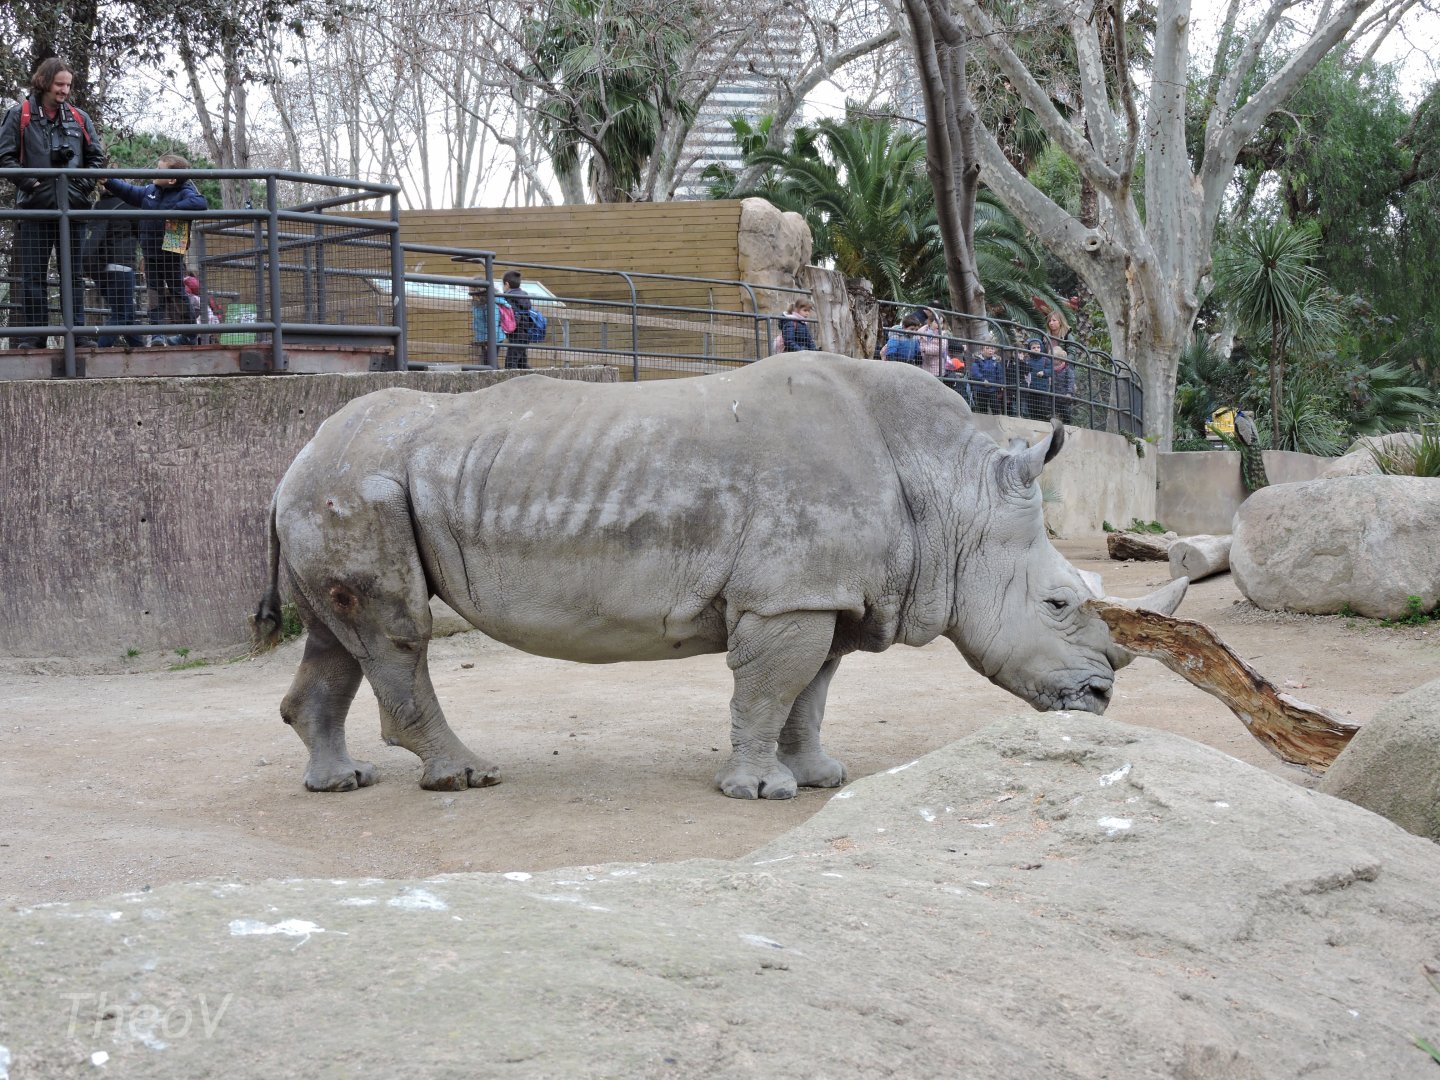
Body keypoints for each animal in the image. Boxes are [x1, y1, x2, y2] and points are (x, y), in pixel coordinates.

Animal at [254, 352, 1185, 799]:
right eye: (1058, 603)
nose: (1099, 699)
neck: (951, 491)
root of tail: (294, 454)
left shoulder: (825, 590)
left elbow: (812, 693)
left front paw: (819, 776)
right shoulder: (787, 595)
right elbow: (771, 689)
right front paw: (761, 792)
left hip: (337, 487)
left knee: (337, 636)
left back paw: (340, 783)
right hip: (358, 486)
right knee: (397, 632)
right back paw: (464, 777)